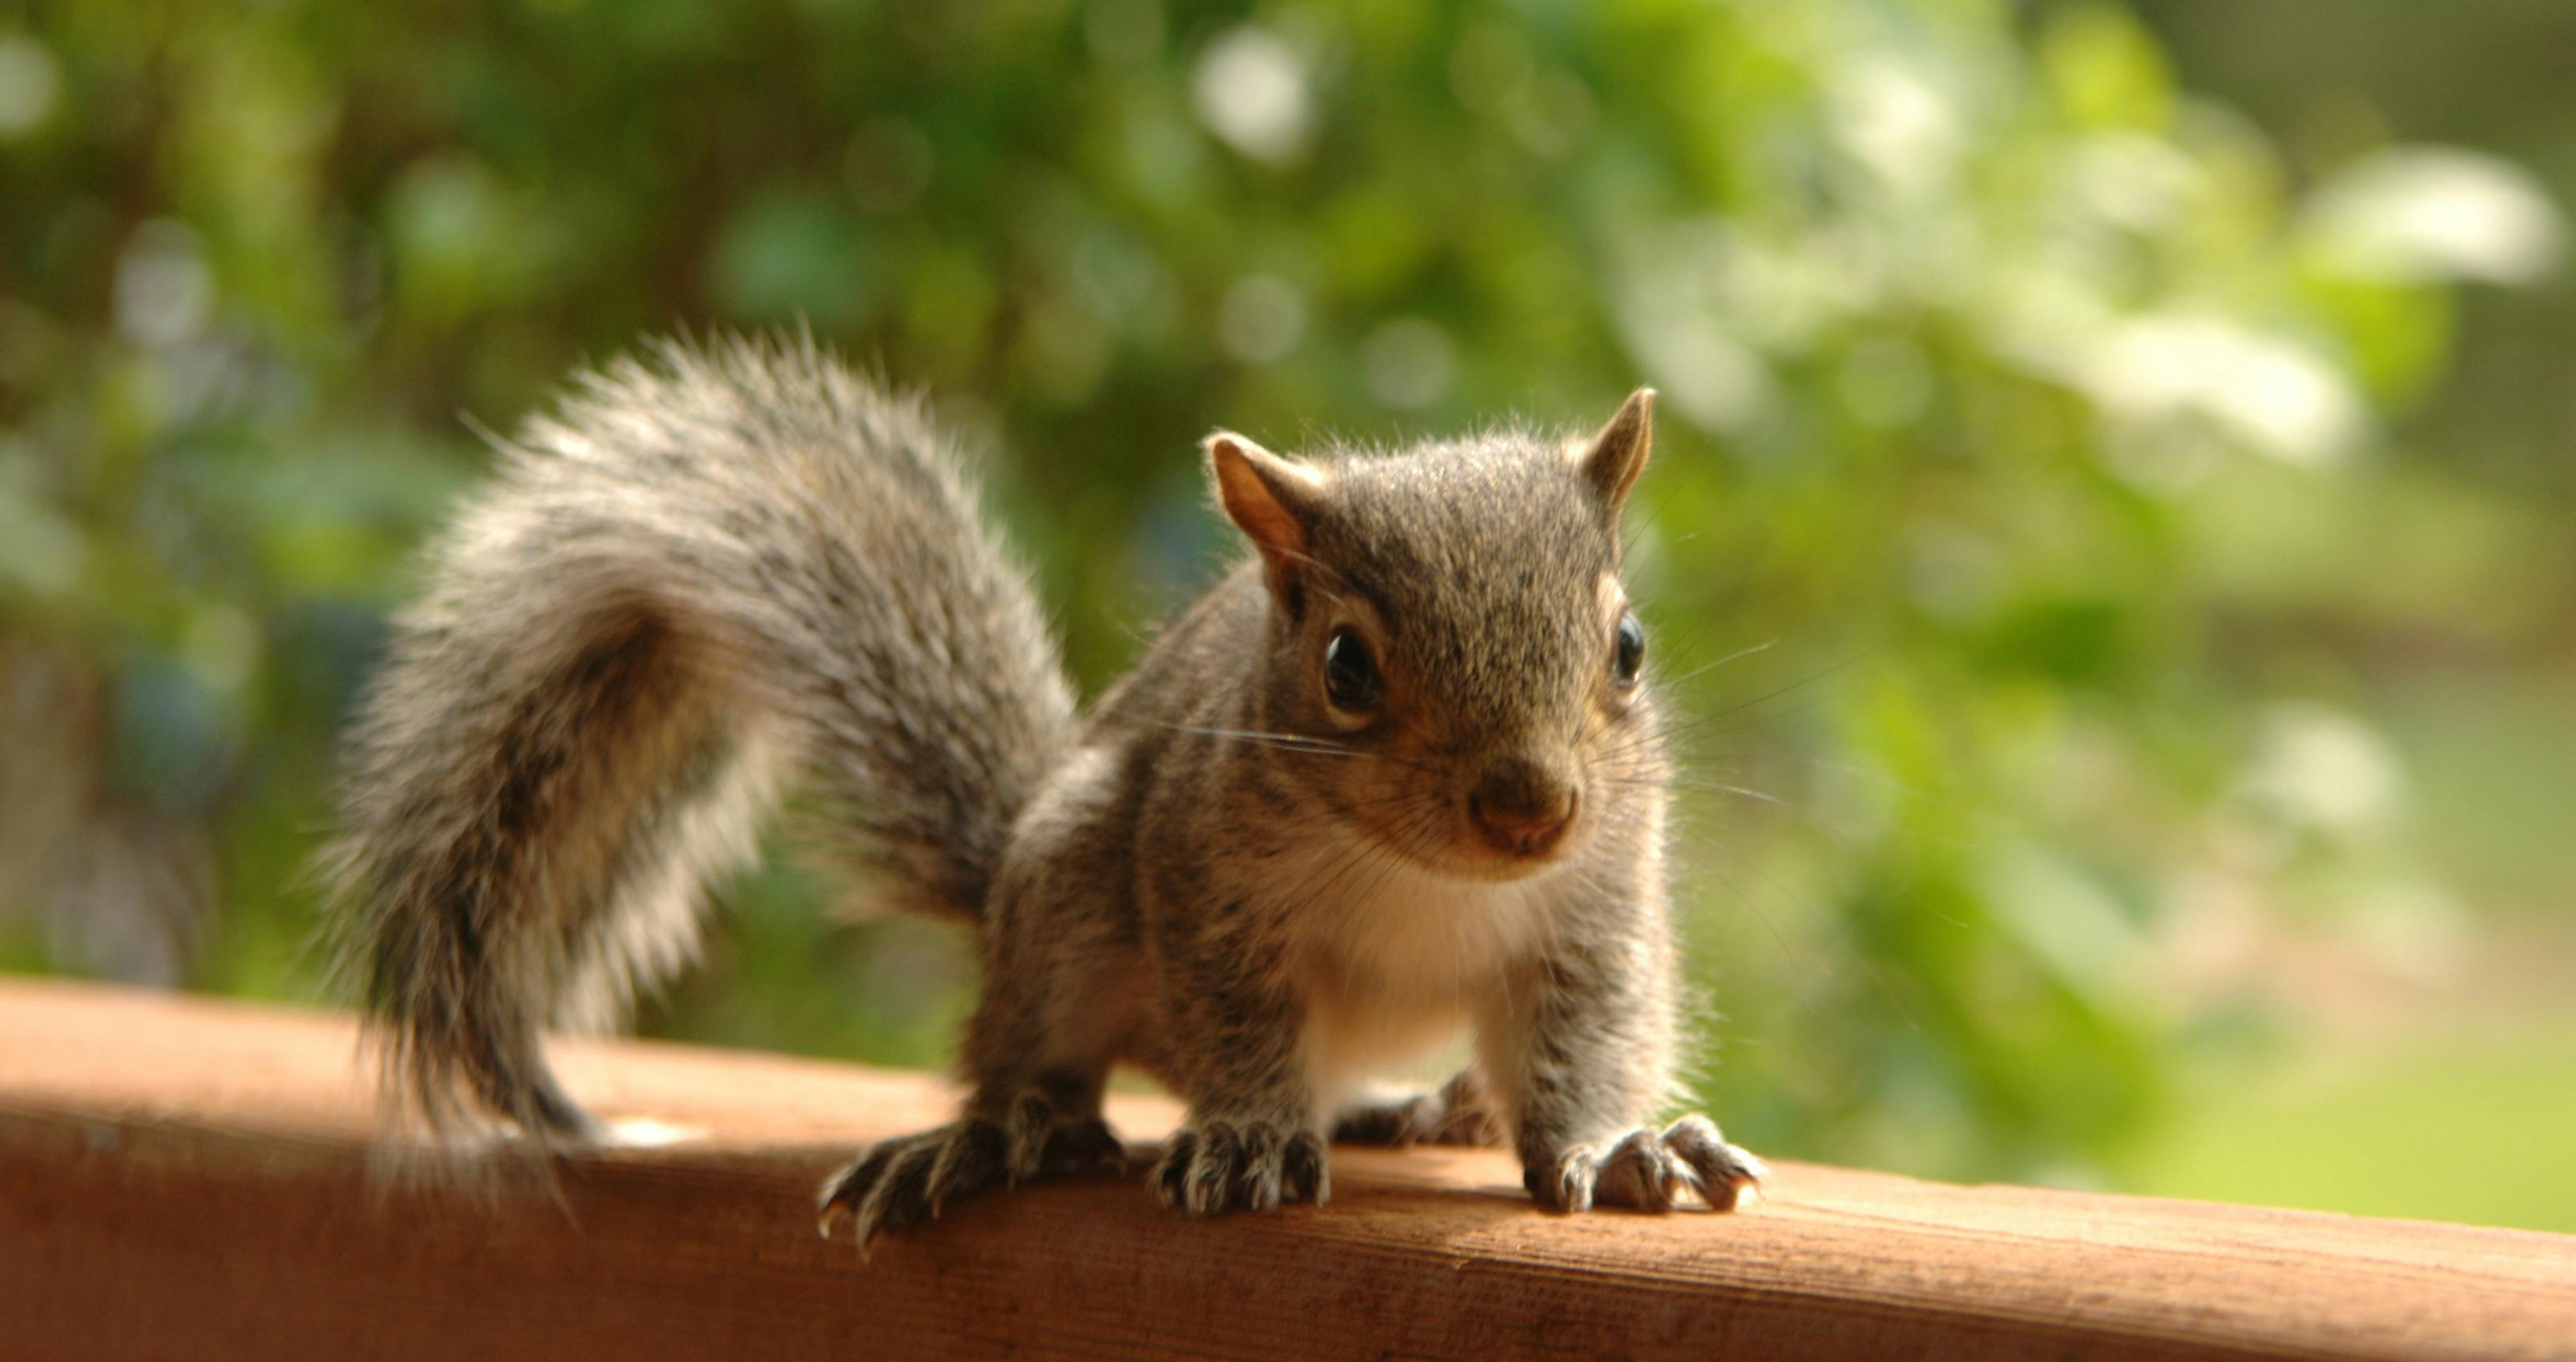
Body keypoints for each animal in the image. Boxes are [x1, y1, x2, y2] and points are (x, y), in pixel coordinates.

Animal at [323, 334, 1765, 1249]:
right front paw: (1249, 1135)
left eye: (1627, 646)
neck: (1424, 876)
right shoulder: (1202, 875)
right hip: (1068, 886)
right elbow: (1238, 1022)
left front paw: (1615, 1148)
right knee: (1034, 1059)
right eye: (1346, 667)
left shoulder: (1595, 912)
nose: (1530, 811)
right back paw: (1007, 1136)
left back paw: (1421, 1108)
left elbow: (1587, 1040)